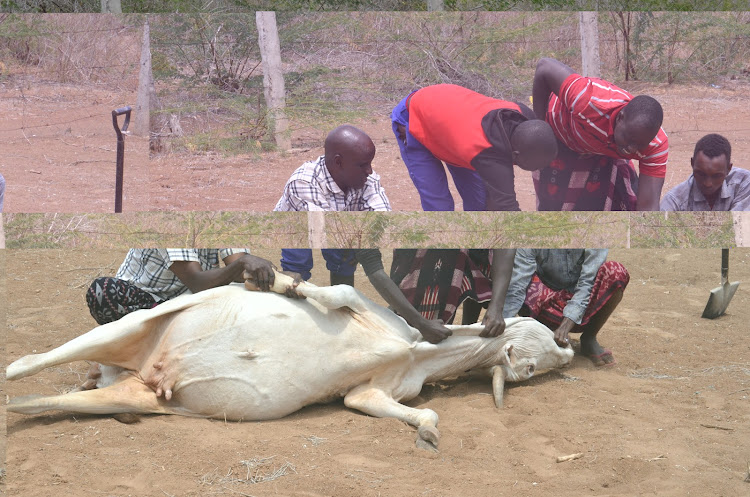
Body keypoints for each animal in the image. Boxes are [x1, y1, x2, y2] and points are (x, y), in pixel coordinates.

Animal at [5, 272, 576, 450]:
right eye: (540, 342)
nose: (568, 348)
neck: (418, 349)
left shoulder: (372, 392)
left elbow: (407, 408)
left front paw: (429, 433)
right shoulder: (367, 307)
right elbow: (338, 291)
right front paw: (286, 285)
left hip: (136, 392)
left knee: (35, 402)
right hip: (134, 324)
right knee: (25, 362)